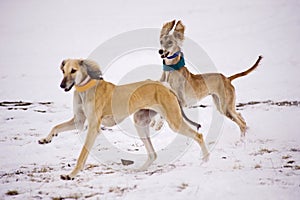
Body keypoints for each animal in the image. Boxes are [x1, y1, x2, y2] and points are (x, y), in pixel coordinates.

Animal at [38, 58, 209, 180]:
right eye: (63, 71)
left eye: (73, 71)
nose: (62, 85)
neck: (85, 88)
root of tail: (165, 86)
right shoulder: (79, 122)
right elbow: (56, 127)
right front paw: (46, 139)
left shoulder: (93, 128)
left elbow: (82, 155)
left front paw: (71, 174)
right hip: (140, 122)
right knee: (153, 154)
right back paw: (140, 169)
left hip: (174, 122)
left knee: (199, 135)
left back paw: (206, 160)